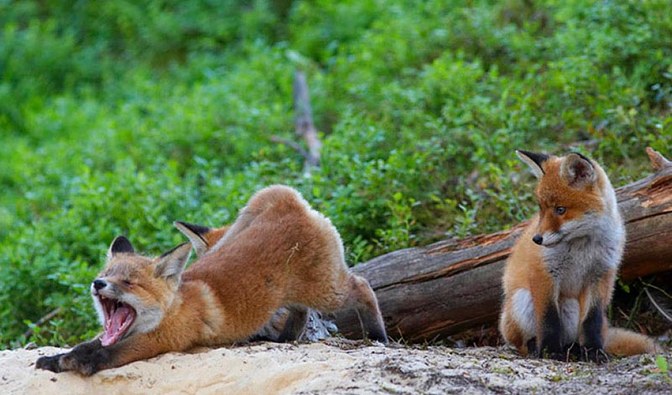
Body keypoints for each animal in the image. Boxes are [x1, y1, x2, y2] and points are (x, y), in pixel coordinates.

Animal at [34, 184, 386, 376]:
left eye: (130, 282)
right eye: (105, 276)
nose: (98, 285)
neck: (170, 311)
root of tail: (287, 201)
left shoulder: (160, 342)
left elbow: (107, 354)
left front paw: (76, 363)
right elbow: (88, 344)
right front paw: (56, 358)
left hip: (327, 290)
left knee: (363, 286)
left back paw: (378, 334)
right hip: (293, 293)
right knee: (300, 313)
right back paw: (284, 340)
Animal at [498, 151, 656, 362]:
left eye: (560, 209)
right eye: (541, 209)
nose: (537, 239)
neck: (582, 247)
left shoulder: (601, 275)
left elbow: (592, 321)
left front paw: (594, 351)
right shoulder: (544, 273)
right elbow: (548, 320)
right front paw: (549, 351)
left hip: (573, 309)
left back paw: (574, 349)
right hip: (521, 300)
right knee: (521, 342)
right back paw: (536, 347)